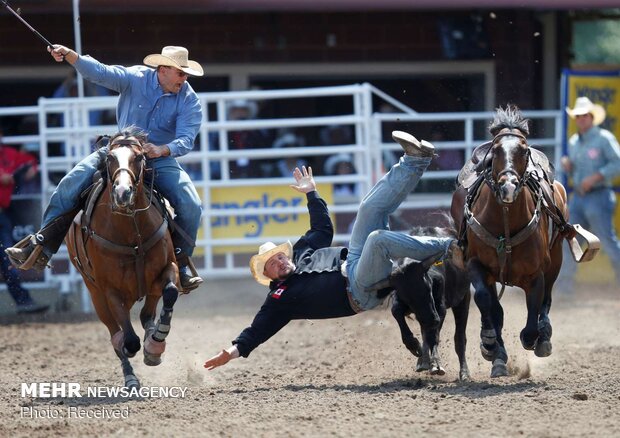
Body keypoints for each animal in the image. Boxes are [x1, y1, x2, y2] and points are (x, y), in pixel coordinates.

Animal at [65, 128, 179, 388]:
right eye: (109, 158)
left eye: (139, 157)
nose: (122, 193)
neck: (132, 233)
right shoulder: (110, 291)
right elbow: (127, 339)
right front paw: (134, 350)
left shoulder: (168, 267)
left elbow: (170, 292)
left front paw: (156, 343)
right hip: (96, 295)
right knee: (115, 332)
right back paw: (130, 376)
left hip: (148, 287)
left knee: (147, 314)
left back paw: (152, 345)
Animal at [450, 105, 572, 376]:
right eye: (495, 151)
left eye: (524, 151)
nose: (508, 187)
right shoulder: (475, 264)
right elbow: (485, 301)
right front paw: (489, 344)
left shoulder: (536, 274)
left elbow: (534, 309)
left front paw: (535, 338)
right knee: (495, 308)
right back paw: (497, 354)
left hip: (557, 256)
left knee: (547, 299)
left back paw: (543, 337)